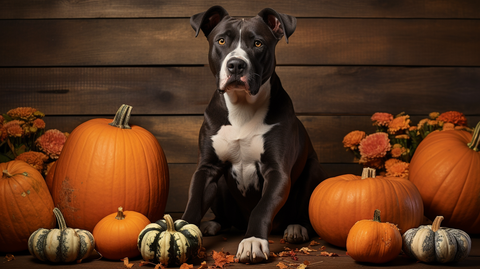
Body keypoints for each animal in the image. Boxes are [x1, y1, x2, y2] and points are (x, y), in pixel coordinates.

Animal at [182, 5, 324, 262]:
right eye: (221, 40)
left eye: (258, 43)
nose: (236, 65)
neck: (242, 108)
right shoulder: (206, 168)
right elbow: (194, 201)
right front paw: (178, 231)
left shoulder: (277, 172)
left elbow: (262, 207)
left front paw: (253, 241)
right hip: (221, 187)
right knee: (226, 217)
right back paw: (214, 224)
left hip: (313, 170)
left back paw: (296, 228)